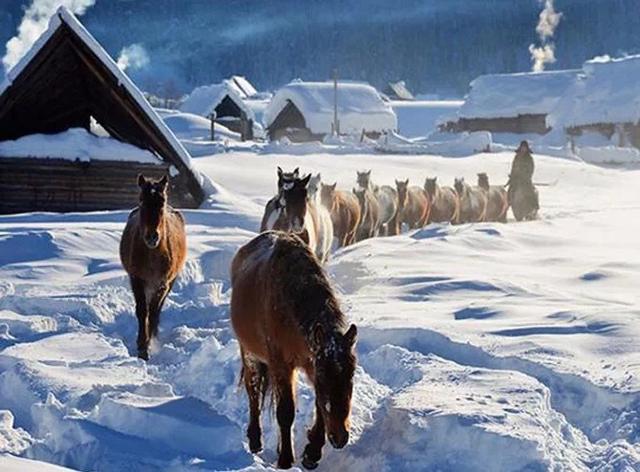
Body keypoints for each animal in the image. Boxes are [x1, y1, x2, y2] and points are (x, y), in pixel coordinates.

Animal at [119, 175, 186, 360]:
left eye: (162, 201)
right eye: (142, 199)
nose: (152, 237)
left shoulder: (162, 283)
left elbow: (153, 310)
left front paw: (148, 343)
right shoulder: (136, 279)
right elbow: (142, 311)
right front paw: (142, 347)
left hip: (170, 281)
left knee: (157, 310)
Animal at [231, 230, 360, 470]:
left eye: (352, 376)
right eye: (325, 377)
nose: (340, 437)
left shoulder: (311, 362)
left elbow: (319, 406)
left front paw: (312, 452)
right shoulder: (283, 364)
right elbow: (285, 411)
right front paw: (285, 460)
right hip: (250, 354)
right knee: (254, 394)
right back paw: (255, 441)